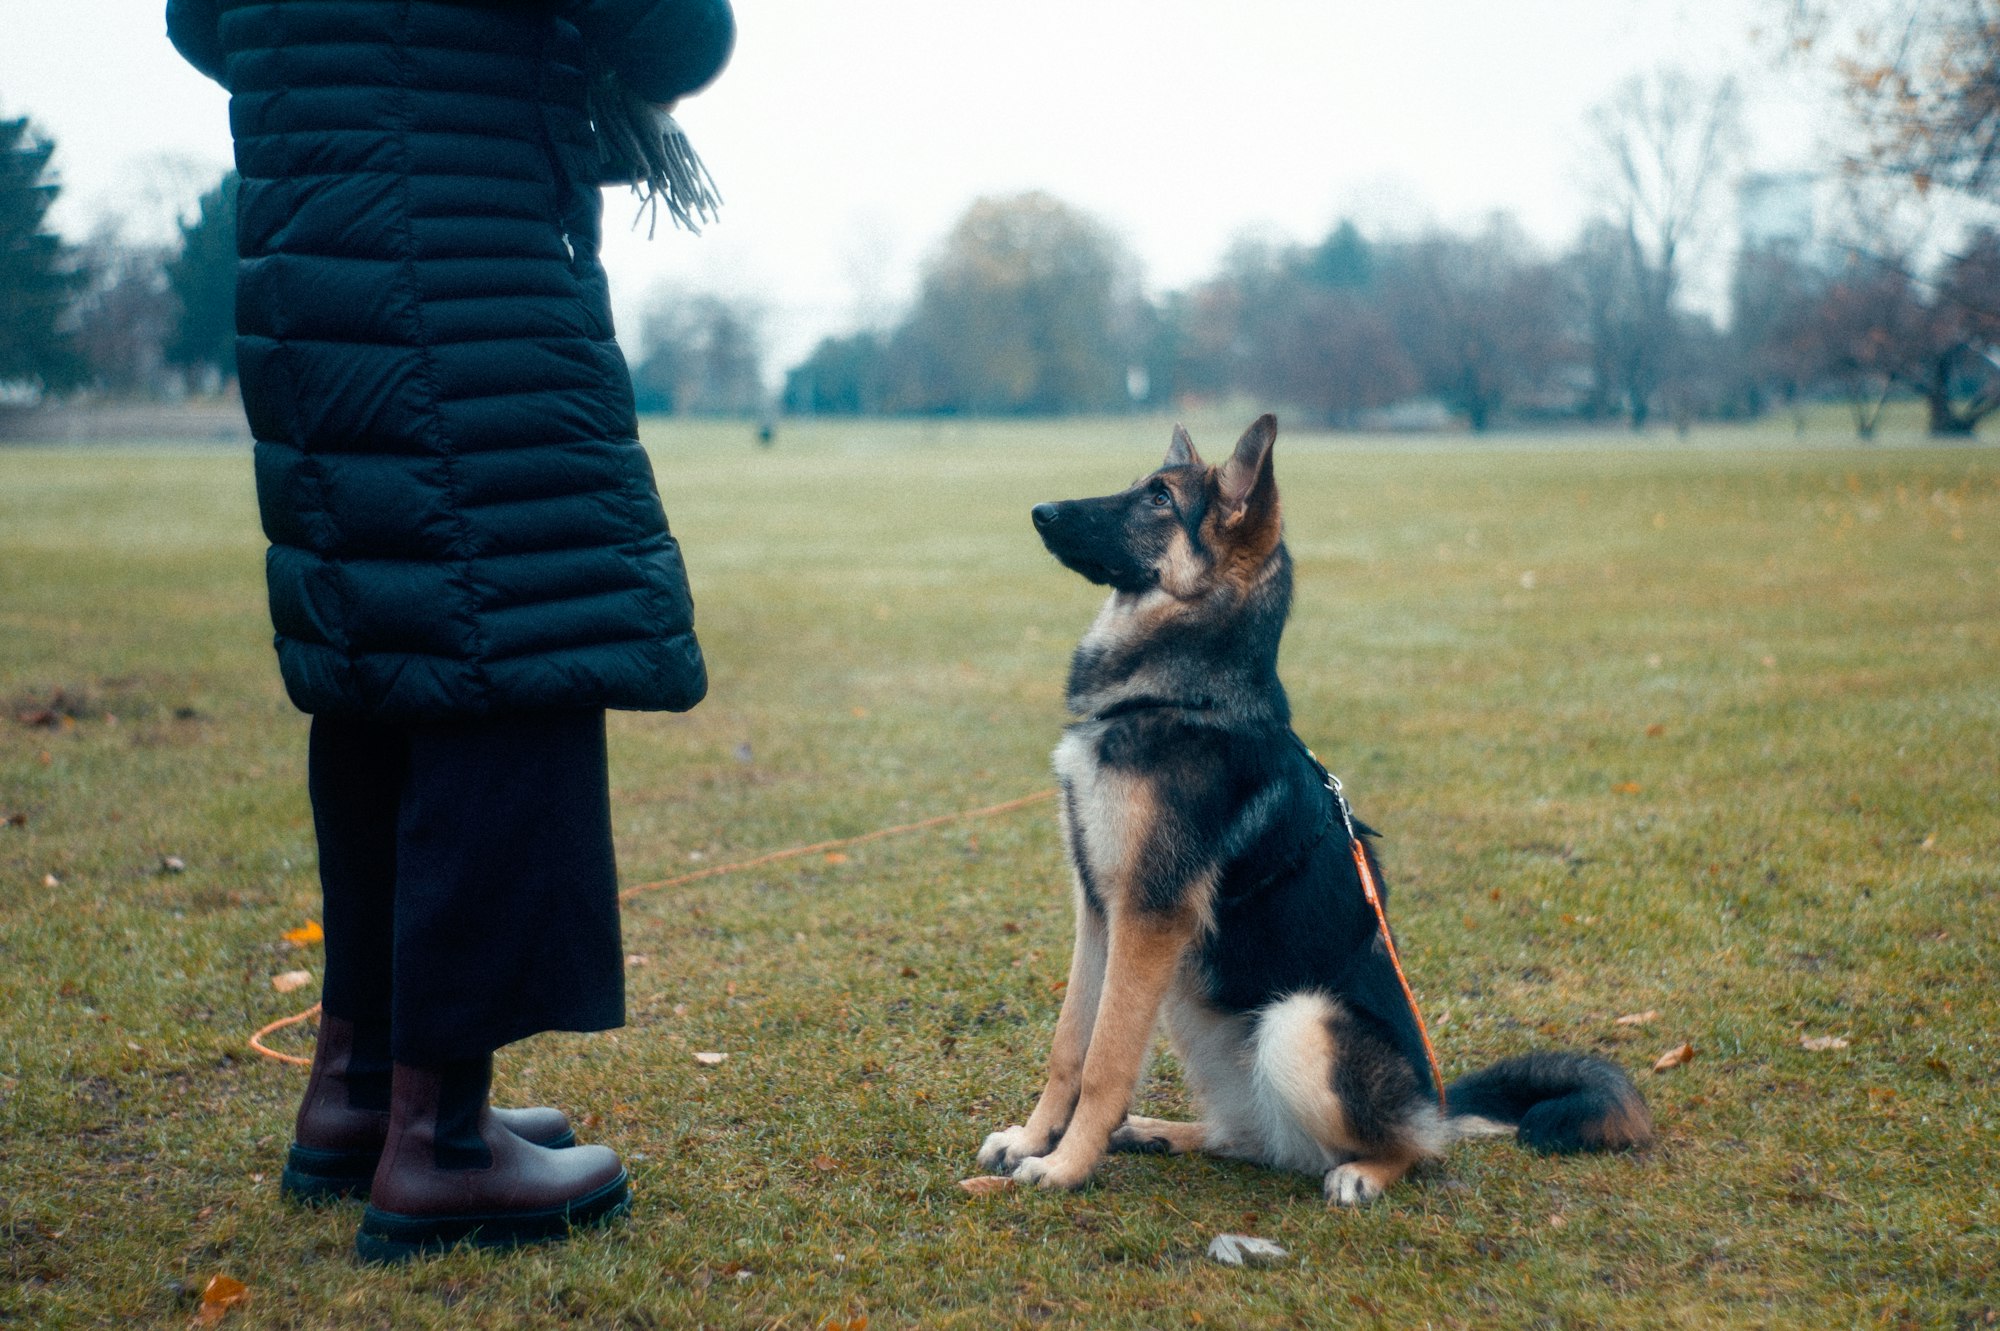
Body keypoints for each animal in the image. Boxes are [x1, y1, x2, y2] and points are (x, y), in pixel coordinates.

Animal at [976, 417, 1648, 1199]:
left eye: (1158, 498)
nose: (1040, 511)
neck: (1182, 695)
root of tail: (1434, 1101)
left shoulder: (1148, 916)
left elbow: (1106, 1062)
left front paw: (1063, 1166)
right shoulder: (1099, 910)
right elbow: (1069, 1047)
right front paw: (1032, 1139)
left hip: (1298, 1021)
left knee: (1413, 1148)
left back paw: (1364, 1171)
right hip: (1195, 1006)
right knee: (1252, 1137)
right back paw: (1158, 1132)